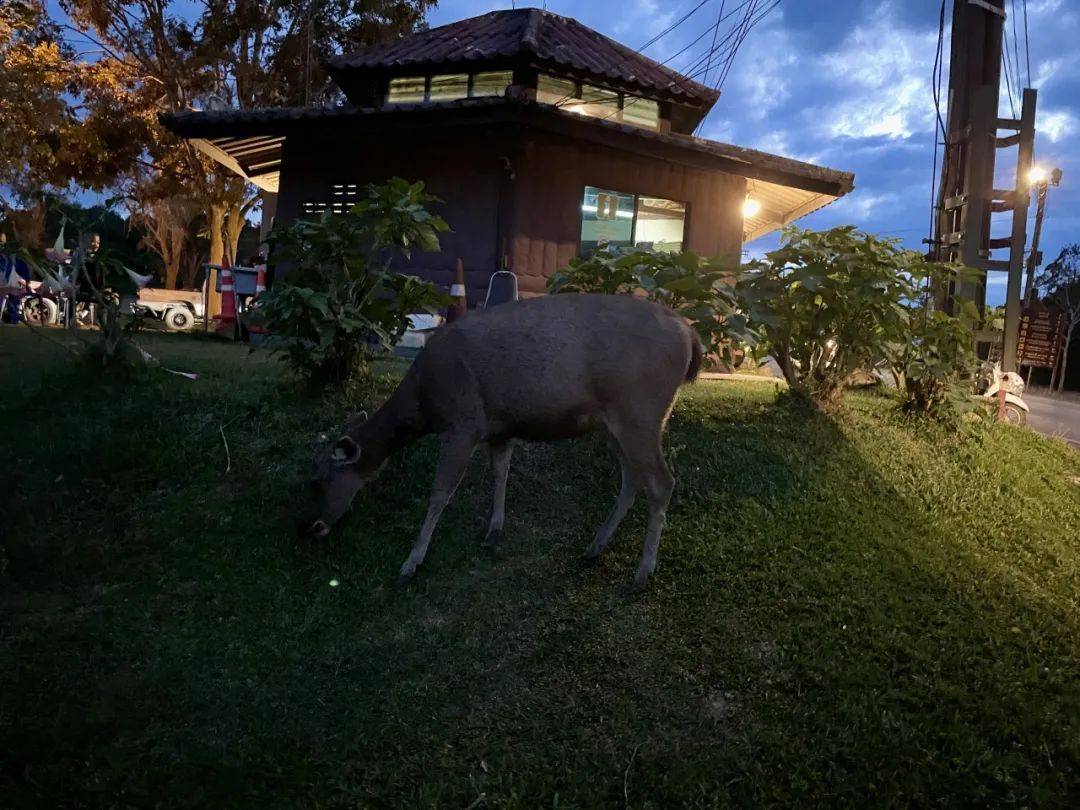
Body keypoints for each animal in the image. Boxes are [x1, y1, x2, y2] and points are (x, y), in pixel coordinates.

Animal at [308, 291, 704, 591]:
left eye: (320, 481)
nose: (311, 527)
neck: (424, 404)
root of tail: (690, 335)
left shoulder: (463, 423)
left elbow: (440, 493)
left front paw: (412, 561)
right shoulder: (498, 429)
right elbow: (501, 473)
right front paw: (494, 528)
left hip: (640, 409)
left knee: (662, 482)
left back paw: (642, 572)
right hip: (616, 422)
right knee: (632, 478)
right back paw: (595, 546)